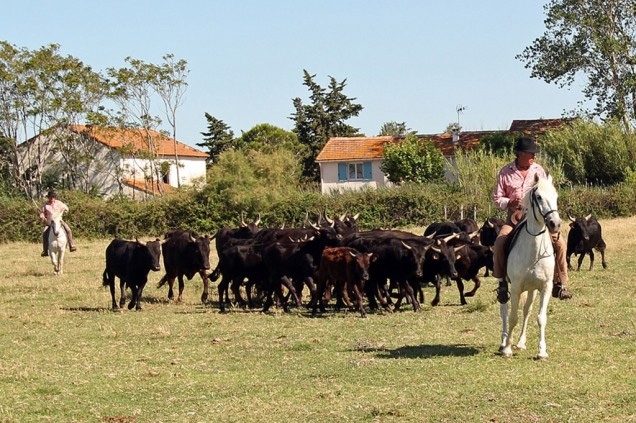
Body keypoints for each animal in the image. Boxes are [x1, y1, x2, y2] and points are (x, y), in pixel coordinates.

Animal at [502, 174, 560, 360]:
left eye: (556, 196)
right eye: (539, 197)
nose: (555, 224)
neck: (534, 251)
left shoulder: (545, 287)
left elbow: (541, 318)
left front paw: (542, 351)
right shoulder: (515, 288)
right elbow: (513, 317)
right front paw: (507, 349)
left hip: (532, 289)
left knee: (527, 310)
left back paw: (520, 342)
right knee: (505, 309)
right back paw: (504, 342)